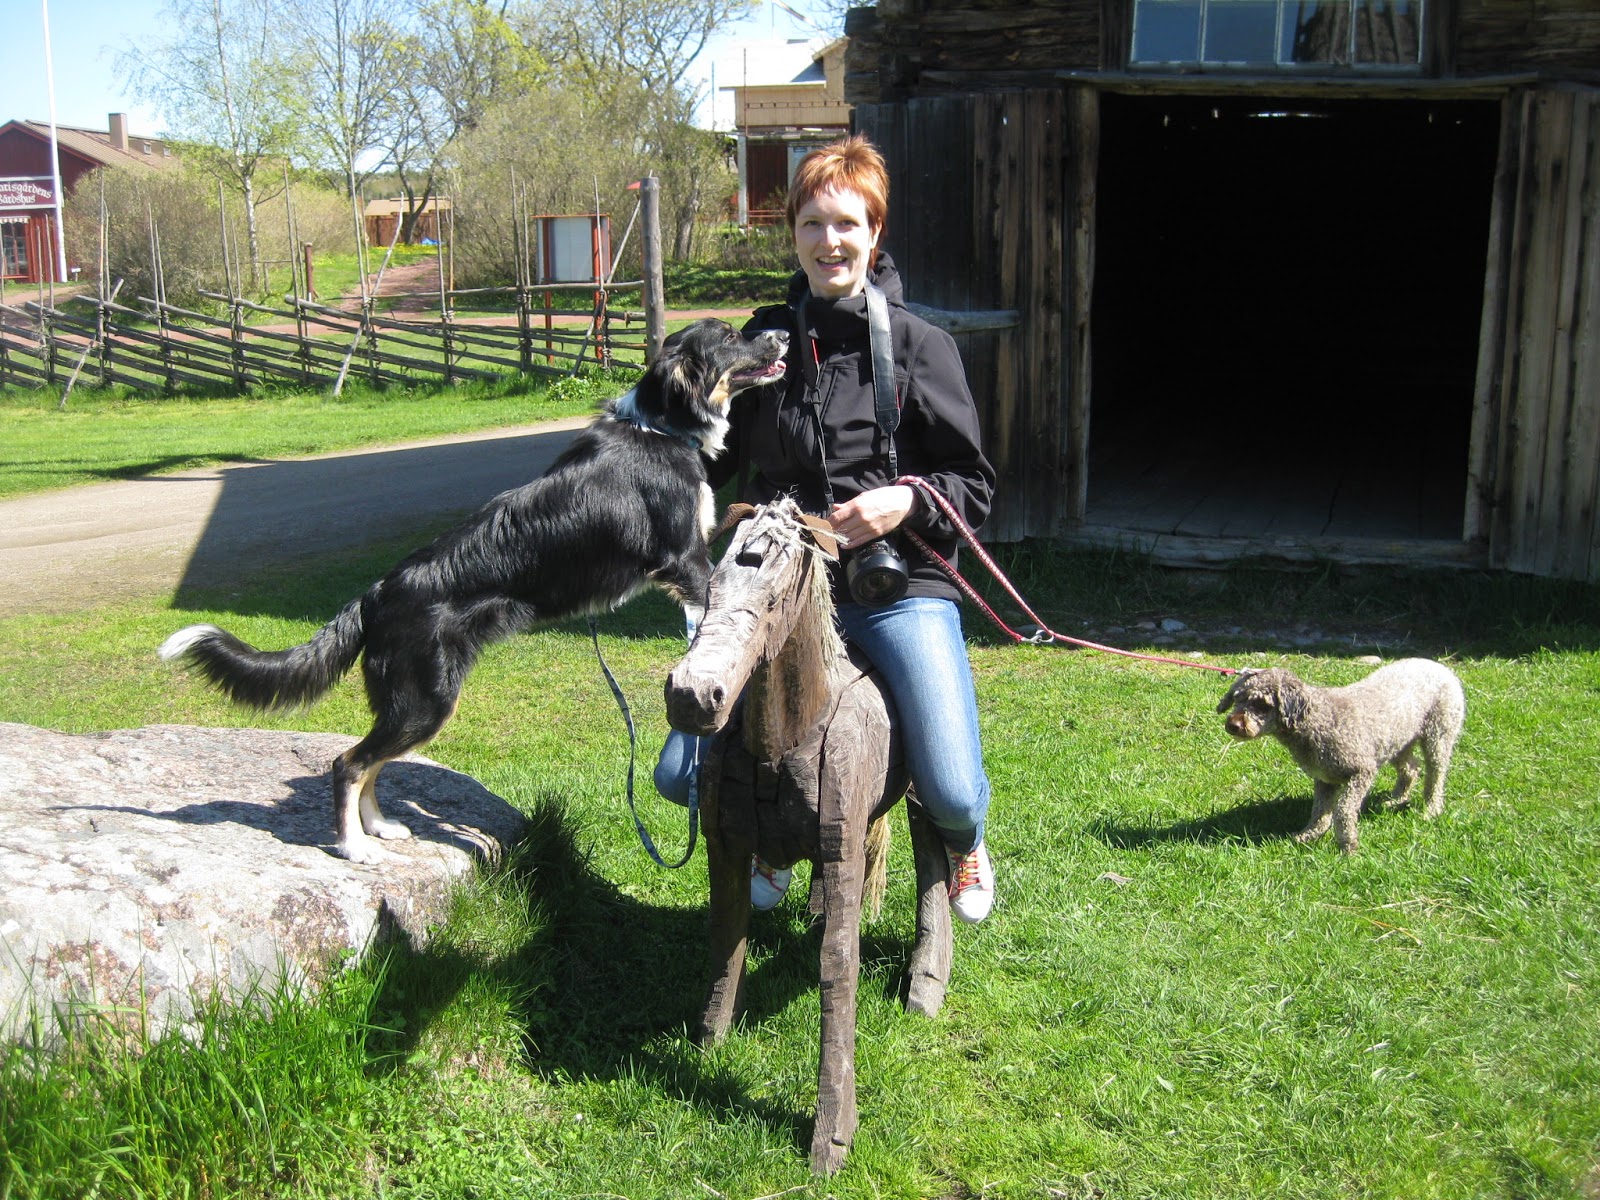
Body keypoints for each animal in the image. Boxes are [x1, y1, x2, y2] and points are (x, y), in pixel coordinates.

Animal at [161, 318, 788, 864]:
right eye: (731, 336)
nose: (782, 333)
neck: (660, 426)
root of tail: (375, 593)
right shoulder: (687, 563)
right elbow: (709, 617)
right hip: (426, 701)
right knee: (348, 763)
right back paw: (354, 847)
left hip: (411, 703)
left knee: (372, 763)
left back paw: (380, 827)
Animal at [1217, 659, 1465, 853]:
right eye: (1237, 698)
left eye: (1262, 704)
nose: (1233, 724)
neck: (1318, 719)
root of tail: (1442, 668)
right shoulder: (1325, 778)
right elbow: (1319, 812)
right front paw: (1307, 836)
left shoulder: (1361, 772)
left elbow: (1343, 811)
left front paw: (1348, 846)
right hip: (1398, 740)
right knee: (1411, 768)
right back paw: (1397, 799)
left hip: (1438, 734)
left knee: (1435, 775)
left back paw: (1431, 810)